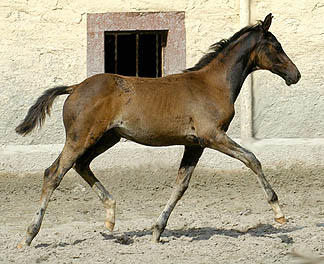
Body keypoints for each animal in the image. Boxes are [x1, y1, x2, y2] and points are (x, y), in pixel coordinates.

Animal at [15, 13, 300, 246]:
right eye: (276, 46)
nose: (295, 75)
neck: (213, 84)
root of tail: (74, 87)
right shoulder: (212, 136)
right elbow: (252, 159)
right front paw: (279, 213)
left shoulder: (194, 144)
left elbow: (181, 185)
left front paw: (157, 230)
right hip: (82, 137)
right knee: (53, 173)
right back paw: (29, 235)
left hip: (107, 138)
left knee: (81, 165)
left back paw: (110, 215)